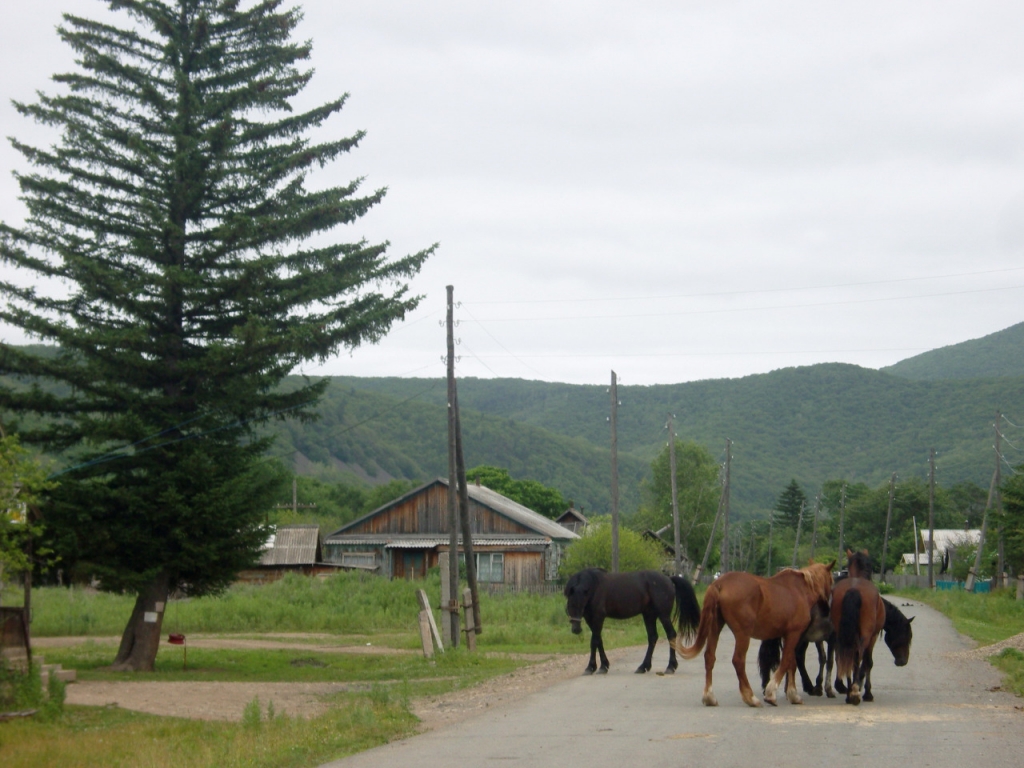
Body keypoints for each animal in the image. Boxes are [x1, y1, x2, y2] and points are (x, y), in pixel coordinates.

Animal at [565, 569, 700, 675]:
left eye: (581, 605)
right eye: (570, 605)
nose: (576, 629)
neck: (594, 587)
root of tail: (668, 578)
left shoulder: (598, 617)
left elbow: (594, 641)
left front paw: (593, 667)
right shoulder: (590, 619)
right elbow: (598, 641)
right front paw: (601, 666)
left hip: (663, 615)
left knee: (671, 634)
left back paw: (670, 666)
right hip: (649, 615)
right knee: (652, 637)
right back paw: (643, 667)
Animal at [667, 561, 835, 708]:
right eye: (832, 581)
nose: (827, 610)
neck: (799, 590)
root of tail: (719, 584)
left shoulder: (790, 636)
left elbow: (792, 663)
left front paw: (793, 695)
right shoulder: (794, 634)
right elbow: (787, 661)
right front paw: (771, 693)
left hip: (715, 627)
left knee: (709, 657)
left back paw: (709, 697)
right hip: (743, 634)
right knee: (738, 661)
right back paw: (751, 698)